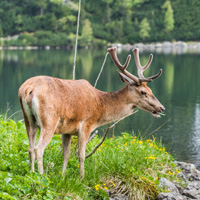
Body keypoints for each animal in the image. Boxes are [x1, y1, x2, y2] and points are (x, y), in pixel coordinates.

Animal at [18, 47, 165, 177]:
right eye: (143, 92)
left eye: (151, 90)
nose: (161, 108)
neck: (101, 108)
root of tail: (27, 89)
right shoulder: (87, 123)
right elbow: (81, 155)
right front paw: (81, 178)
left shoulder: (67, 131)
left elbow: (66, 155)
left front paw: (63, 176)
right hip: (49, 120)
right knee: (38, 148)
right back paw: (41, 176)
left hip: (28, 120)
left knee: (30, 148)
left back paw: (32, 174)